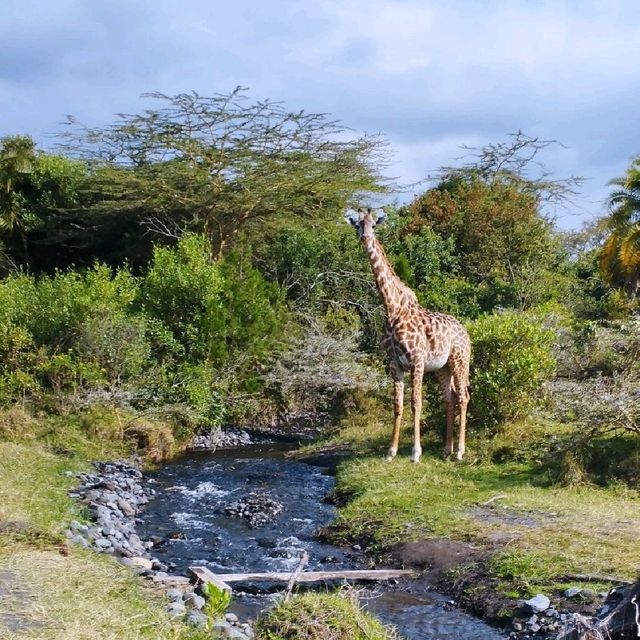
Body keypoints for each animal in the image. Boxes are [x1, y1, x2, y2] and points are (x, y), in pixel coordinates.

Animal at [344, 208, 470, 462]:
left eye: (374, 225)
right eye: (357, 225)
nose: (365, 238)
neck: (392, 309)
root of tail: (467, 334)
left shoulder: (417, 361)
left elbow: (416, 403)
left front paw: (415, 453)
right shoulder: (395, 363)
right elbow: (398, 405)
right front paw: (391, 452)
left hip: (460, 360)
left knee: (463, 397)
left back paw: (460, 452)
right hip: (442, 367)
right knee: (450, 397)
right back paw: (446, 450)